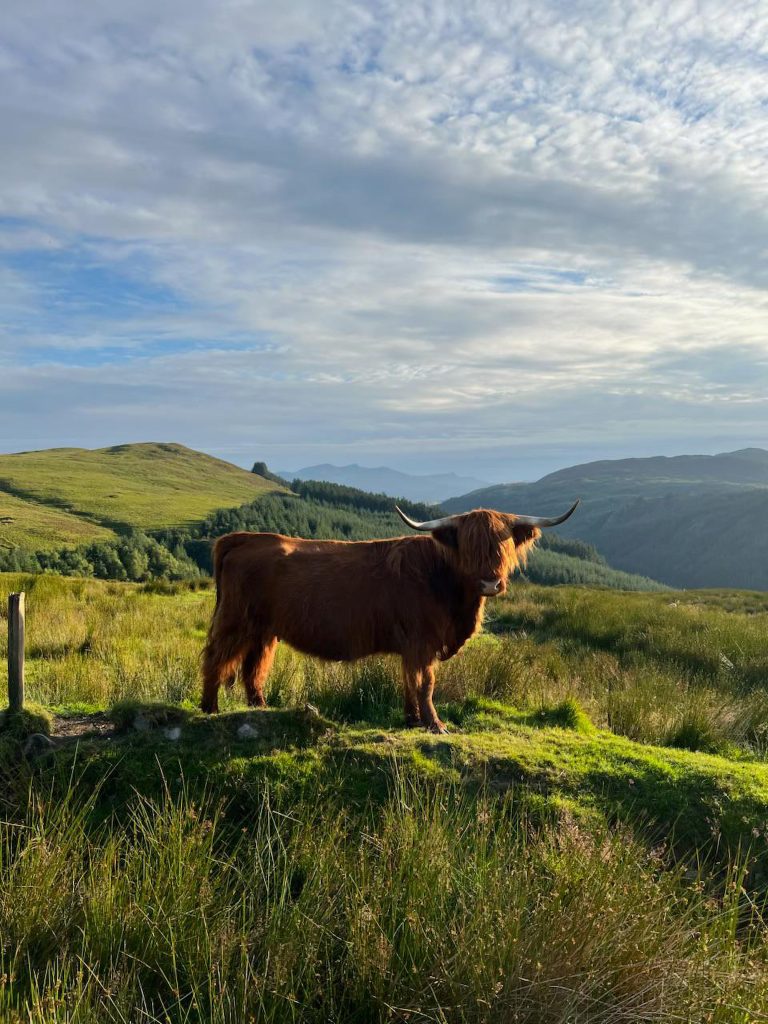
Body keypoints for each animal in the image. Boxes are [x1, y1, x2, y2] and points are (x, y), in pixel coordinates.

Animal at [201, 500, 579, 732]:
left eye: (502, 544)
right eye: (469, 546)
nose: (490, 582)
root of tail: (239, 539)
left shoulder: (413, 646)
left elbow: (409, 682)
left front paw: (412, 720)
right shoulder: (422, 640)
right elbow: (425, 683)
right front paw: (436, 725)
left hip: (264, 630)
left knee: (254, 667)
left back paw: (260, 708)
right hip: (235, 620)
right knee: (216, 660)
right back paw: (209, 709)